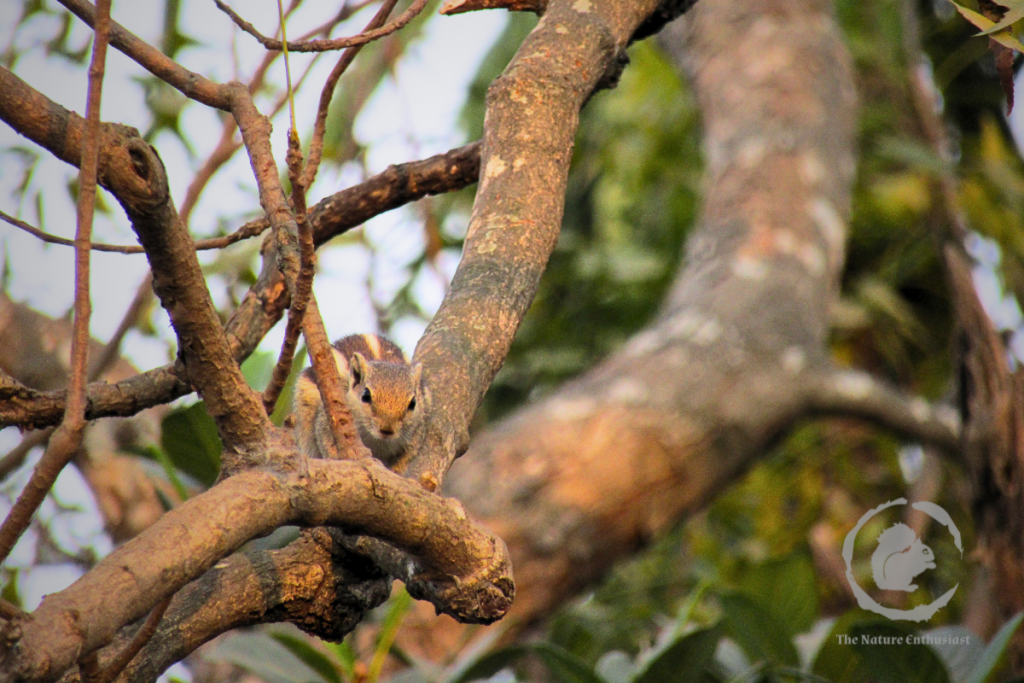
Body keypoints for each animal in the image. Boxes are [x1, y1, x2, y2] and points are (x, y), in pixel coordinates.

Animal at [293, 334, 424, 468]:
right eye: (366, 395)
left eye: (413, 403)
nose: (387, 429)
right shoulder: (327, 417)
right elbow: (325, 440)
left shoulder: (416, 434)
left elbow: (406, 457)